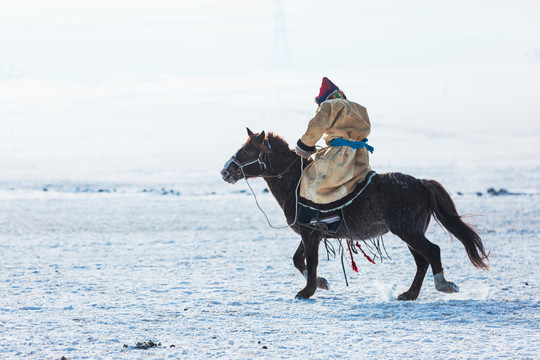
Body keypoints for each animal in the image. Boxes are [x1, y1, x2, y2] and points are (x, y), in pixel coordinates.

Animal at [220, 128, 490, 300]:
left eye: (246, 151)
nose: (225, 171)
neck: (295, 184)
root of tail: (422, 183)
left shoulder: (310, 233)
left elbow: (311, 261)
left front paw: (307, 291)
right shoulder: (312, 234)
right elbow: (298, 259)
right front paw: (320, 283)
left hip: (408, 231)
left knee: (431, 252)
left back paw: (443, 285)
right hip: (409, 232)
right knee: (422, 260)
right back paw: (409, 294)